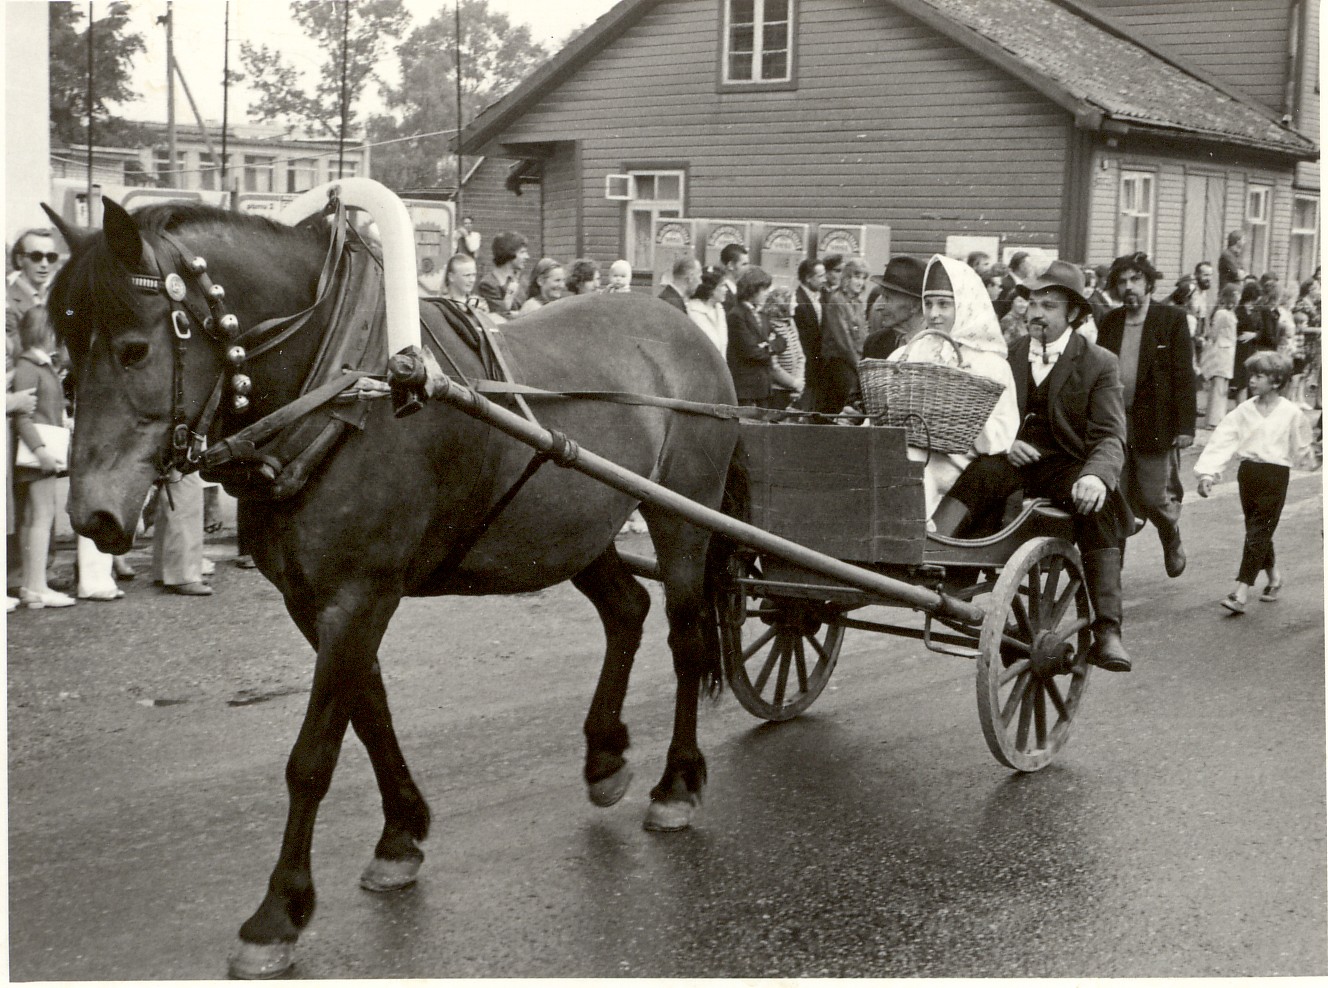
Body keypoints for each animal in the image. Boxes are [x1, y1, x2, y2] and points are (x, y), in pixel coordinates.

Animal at [41, 196, 743, 977]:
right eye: (64, 353)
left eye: (134, 349)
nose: (92, 517)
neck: (342, 387)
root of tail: (682, 325)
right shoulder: (318, 602)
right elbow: (369, 714)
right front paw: (401, 837)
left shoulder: (358, 596)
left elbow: (314, 756)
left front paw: (278, 913)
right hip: (576, 529)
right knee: (627, 610)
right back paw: (604, 755)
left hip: (681, 517)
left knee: (686, 640)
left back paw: (677, 783)